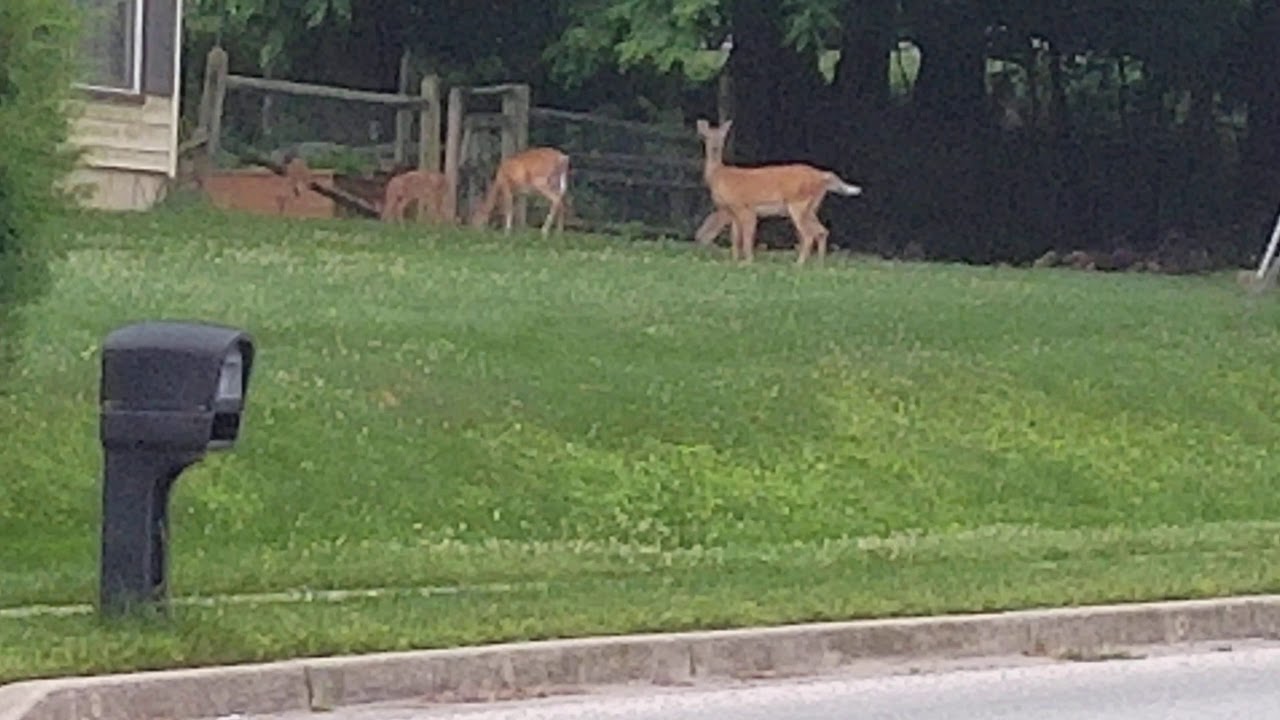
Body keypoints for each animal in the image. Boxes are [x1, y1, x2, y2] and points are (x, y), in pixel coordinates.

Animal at [695, 119, 864, 264]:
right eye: (706, 136)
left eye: (722, 137)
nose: (715, 148)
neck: (719, 175)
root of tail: (822, 176)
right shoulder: (732, 212)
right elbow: (735, 238)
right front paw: (735, 261)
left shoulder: (744, 207)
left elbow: (747, 238)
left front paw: (748, 262)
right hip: (811, 206)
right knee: (823, 231)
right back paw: (819, 264)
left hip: (798, 204)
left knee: (809, 234)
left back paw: (798, 264)